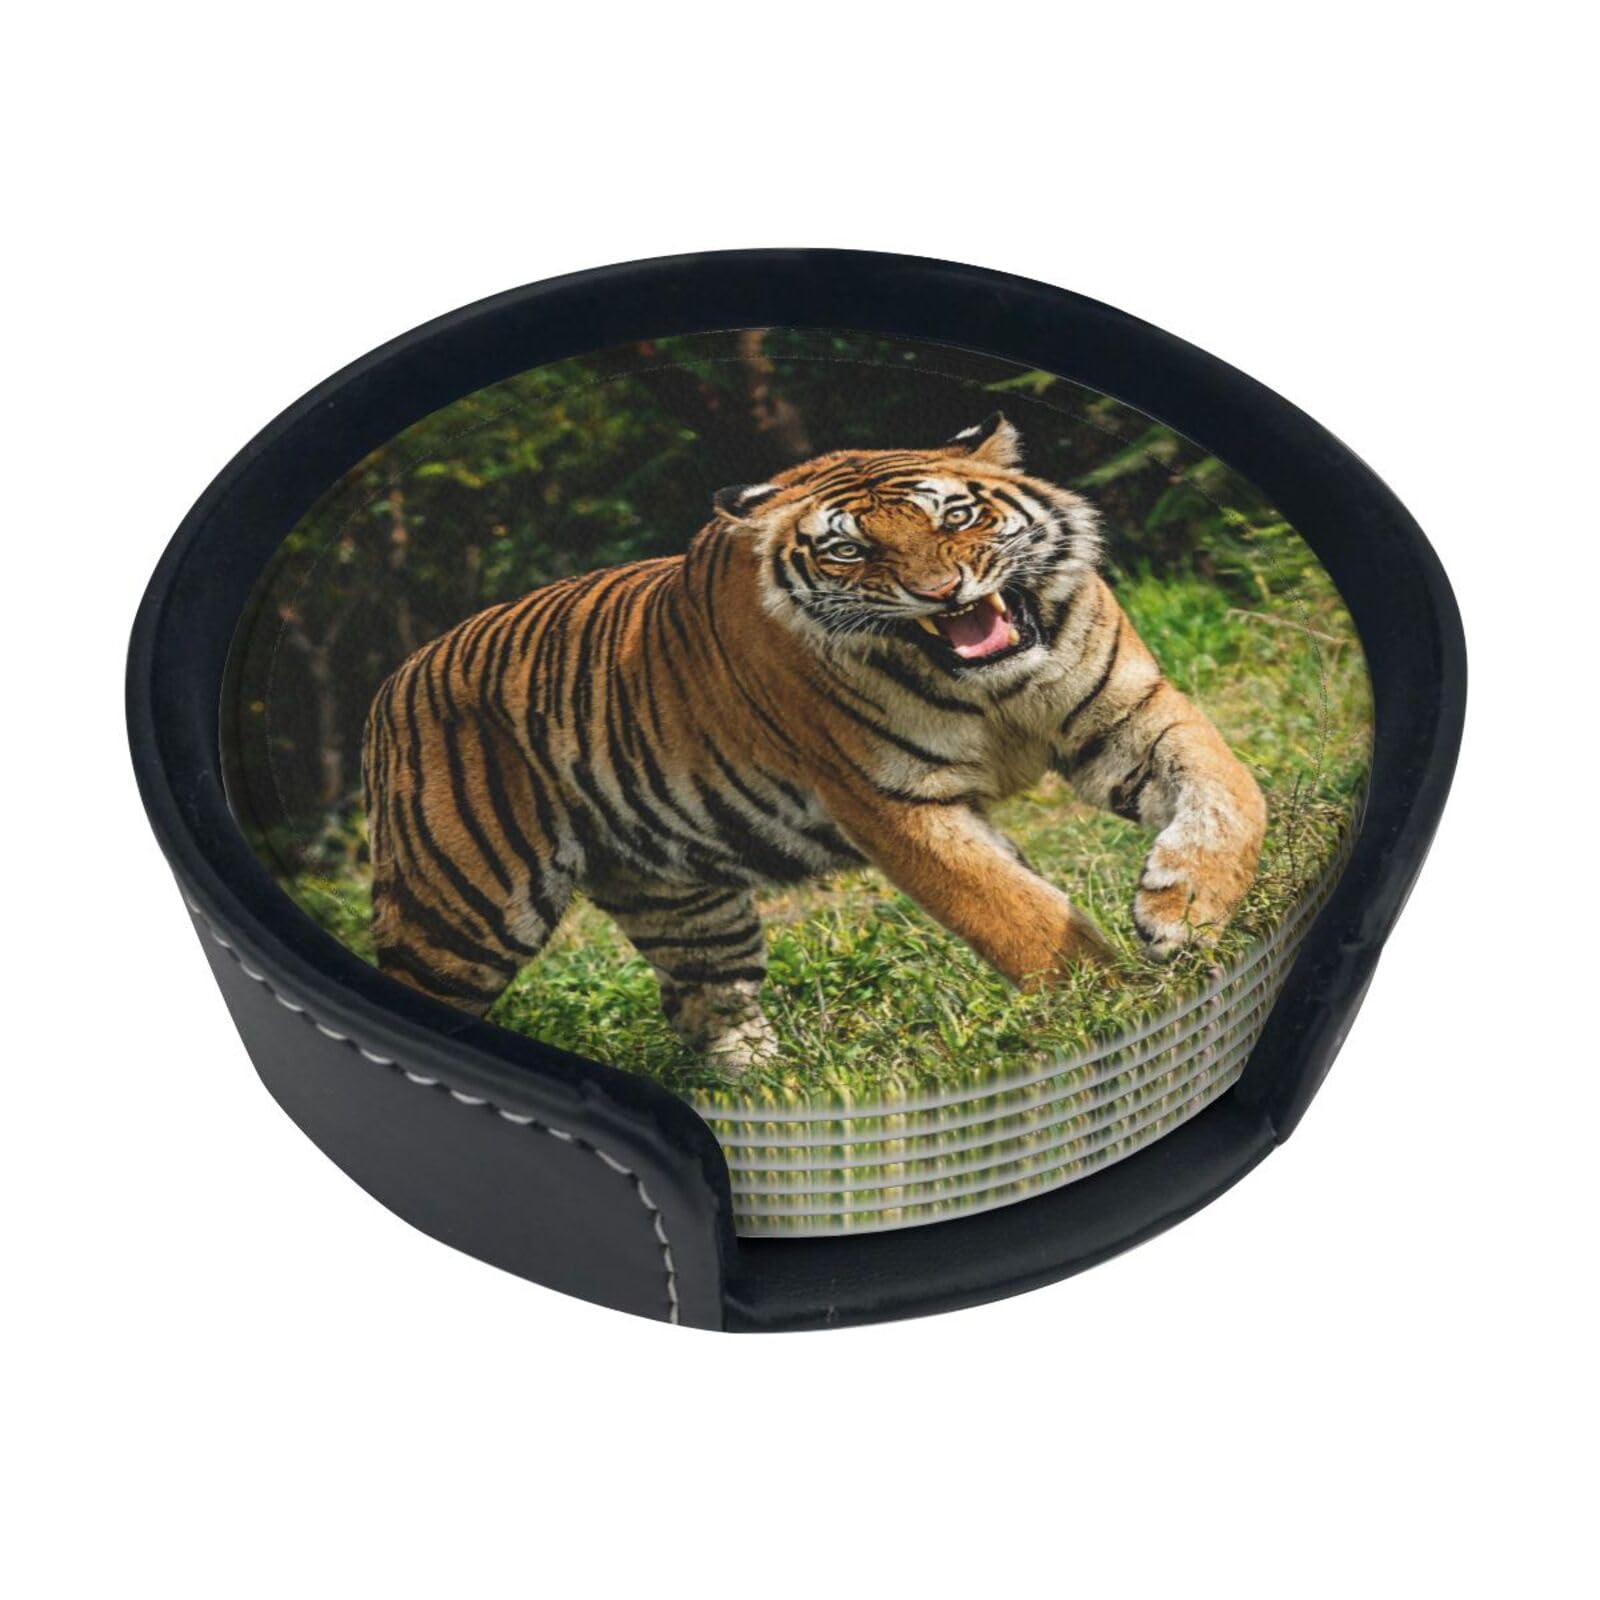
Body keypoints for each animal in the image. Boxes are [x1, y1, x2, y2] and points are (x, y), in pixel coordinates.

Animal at [362, 413, 1266, 1072]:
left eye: (958, 515)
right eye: (849, 550)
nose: (942, 590)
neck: (991, 686)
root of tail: (396, 677)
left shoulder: (1131, 716)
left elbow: (1230, 788)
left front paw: (1183, 912)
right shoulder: (891, 806)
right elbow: (1012, 911)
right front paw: (1113, 1012)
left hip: (684, 902)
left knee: (703, 1003)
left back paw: (779, 1093)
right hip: (460, 914)